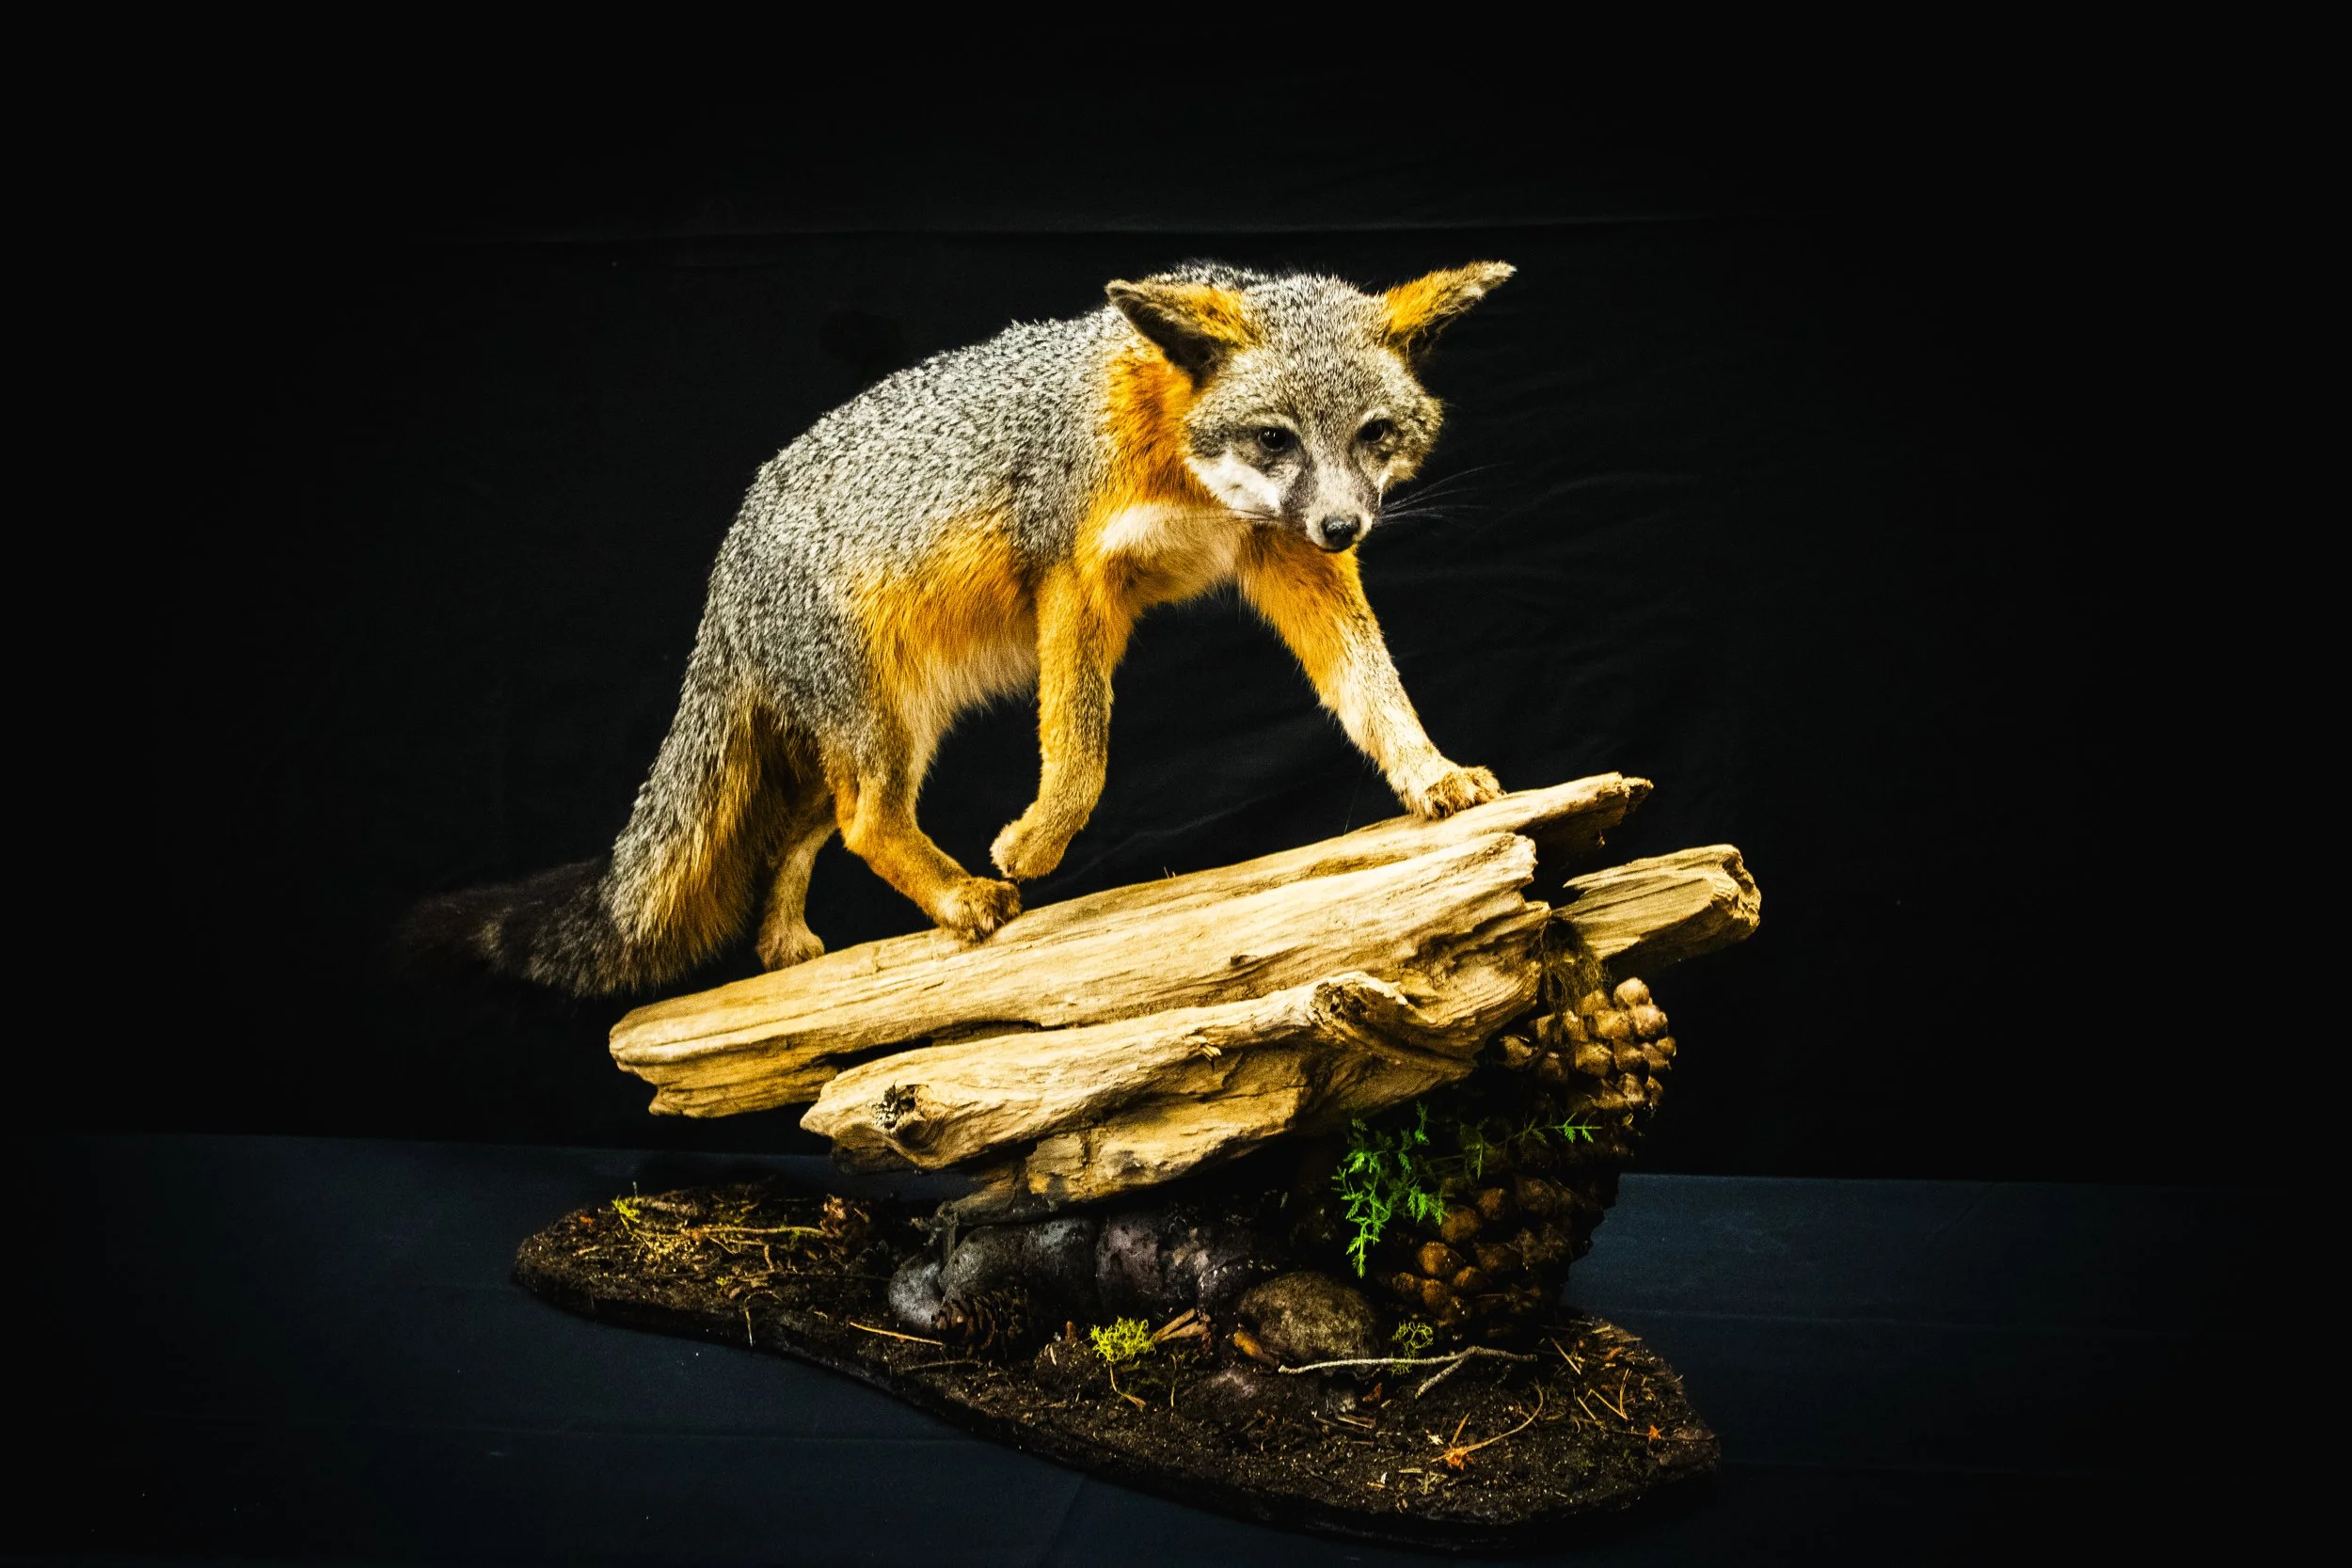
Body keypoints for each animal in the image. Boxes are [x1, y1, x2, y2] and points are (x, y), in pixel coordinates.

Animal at [410, 261, 1514, 997]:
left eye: (1375, 436)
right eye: (1274, 438)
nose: (1346, 525)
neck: (1177, 456)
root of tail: (728, 565)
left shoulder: (1285, 559)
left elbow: (1373, 689)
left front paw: (1428, 773)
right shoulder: (1072, 577)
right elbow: (1081, 744)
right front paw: (1036, 844)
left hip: (880, 734)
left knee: (809, 827)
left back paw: (783, 945)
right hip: (885, 729)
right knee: (865, 823)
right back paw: (956, 899)